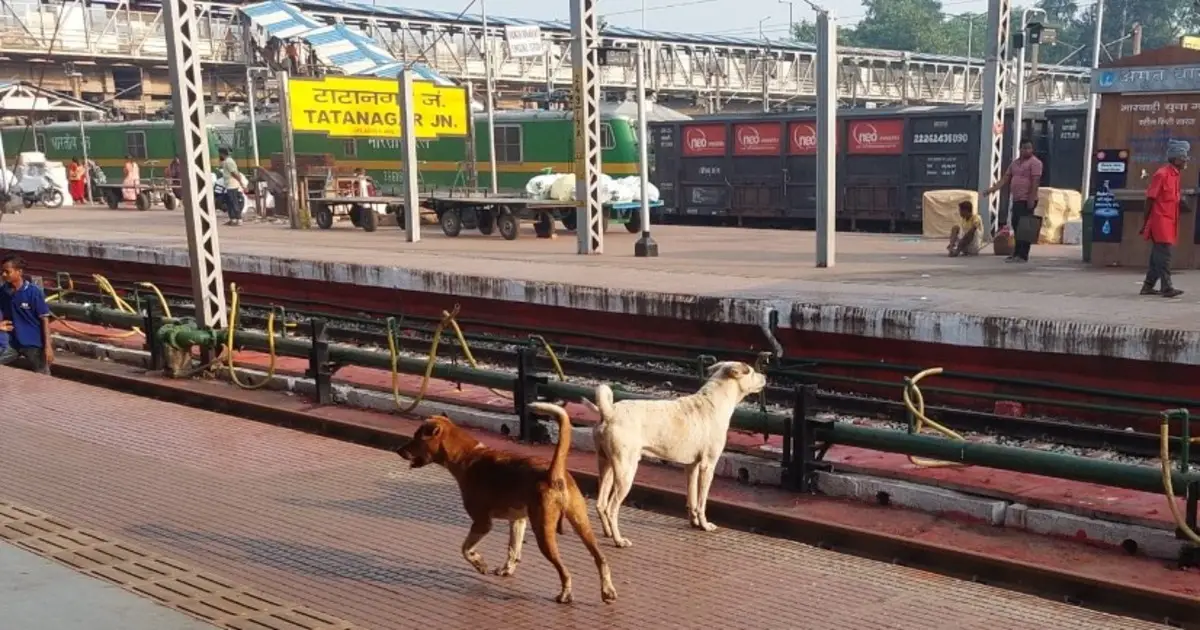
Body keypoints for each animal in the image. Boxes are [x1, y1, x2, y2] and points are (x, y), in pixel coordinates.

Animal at [396, 403, 619, 604]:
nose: (398, 450)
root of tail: (553, 474)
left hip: (544, 533)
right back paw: (607, 591)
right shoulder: (518, 520)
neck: (467, 455)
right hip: (581, 523)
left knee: (564, 570)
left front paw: (480, 564)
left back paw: (565, 595)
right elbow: (513, 549)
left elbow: (465, 549)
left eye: (416, 437)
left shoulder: (482, 523)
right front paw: (506, 569)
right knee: (601, 558)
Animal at [583, 360, 768, 547]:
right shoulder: (707, 466)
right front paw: (705, 525)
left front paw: (694, 523)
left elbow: (692, 499)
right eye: (752, 372)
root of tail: (609, 413)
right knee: (611, 508)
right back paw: (619, 540)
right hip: (625, 472)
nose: (765, 376)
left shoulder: (691, 466)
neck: (715, 401)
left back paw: (607, 533)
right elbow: (701, 502)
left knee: (600, 504)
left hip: (606, 466)